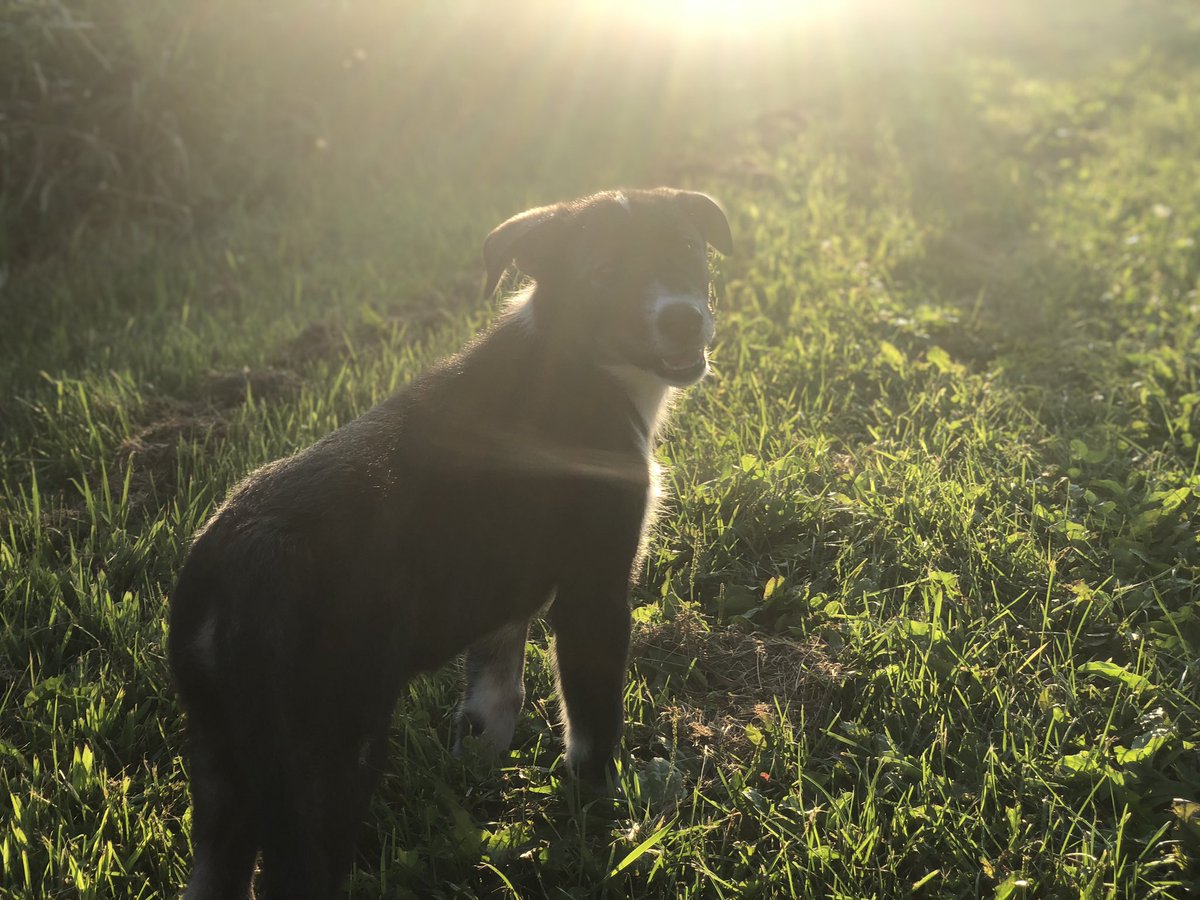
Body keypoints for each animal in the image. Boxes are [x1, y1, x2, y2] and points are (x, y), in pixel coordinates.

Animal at [168, 187, 729, 897]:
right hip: (323, 756)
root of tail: (234, 570)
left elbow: (494, 697)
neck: (580, 357)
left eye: (686, 247)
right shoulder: (594, 593)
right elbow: (592, 724)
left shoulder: (505, 595)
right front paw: (607, 821)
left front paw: (479, 782)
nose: (682, 320)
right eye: (603, 272)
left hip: (223, 756)